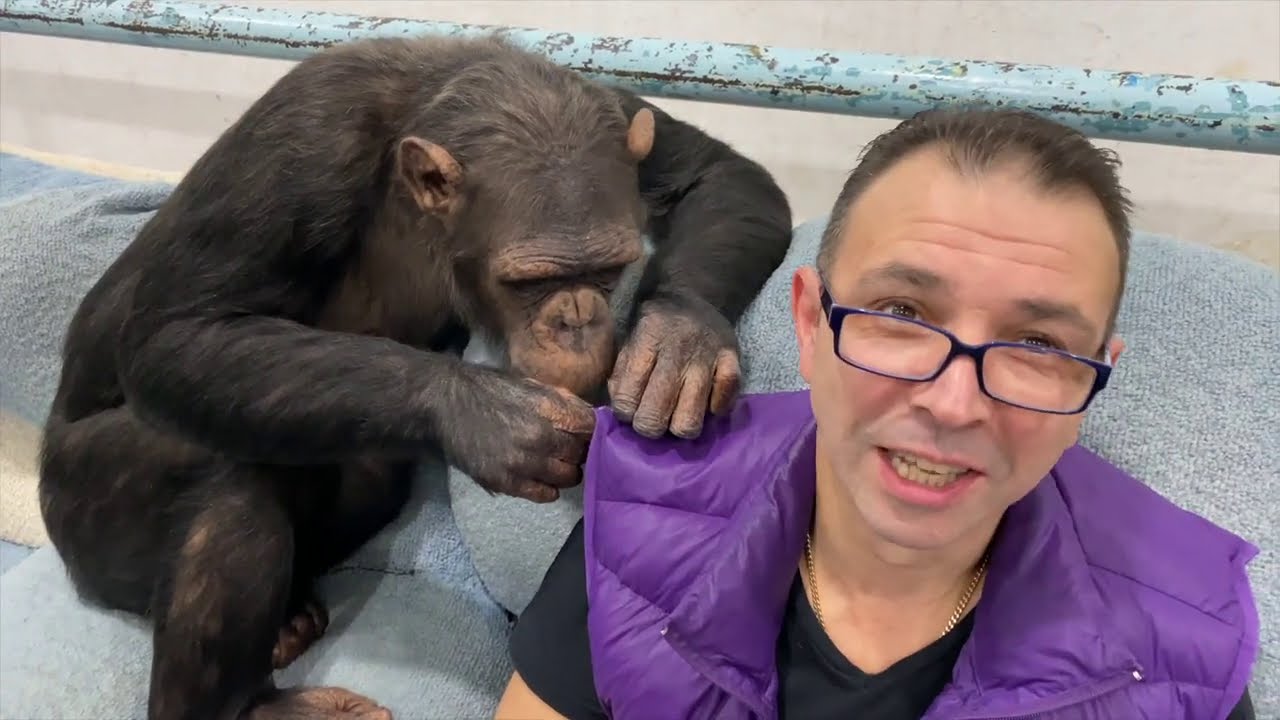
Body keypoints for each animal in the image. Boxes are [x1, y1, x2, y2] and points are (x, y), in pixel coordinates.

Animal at [37, 34, 792, 720]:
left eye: (607, 271)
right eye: (531, 281)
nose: (577, 319)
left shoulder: (611, 104)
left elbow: (721, 175)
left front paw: (677, 340)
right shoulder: (301, 141)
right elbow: (177, 334)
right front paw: (488, 418)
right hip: (81, 509)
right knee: (228, 482)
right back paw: (250, 705)